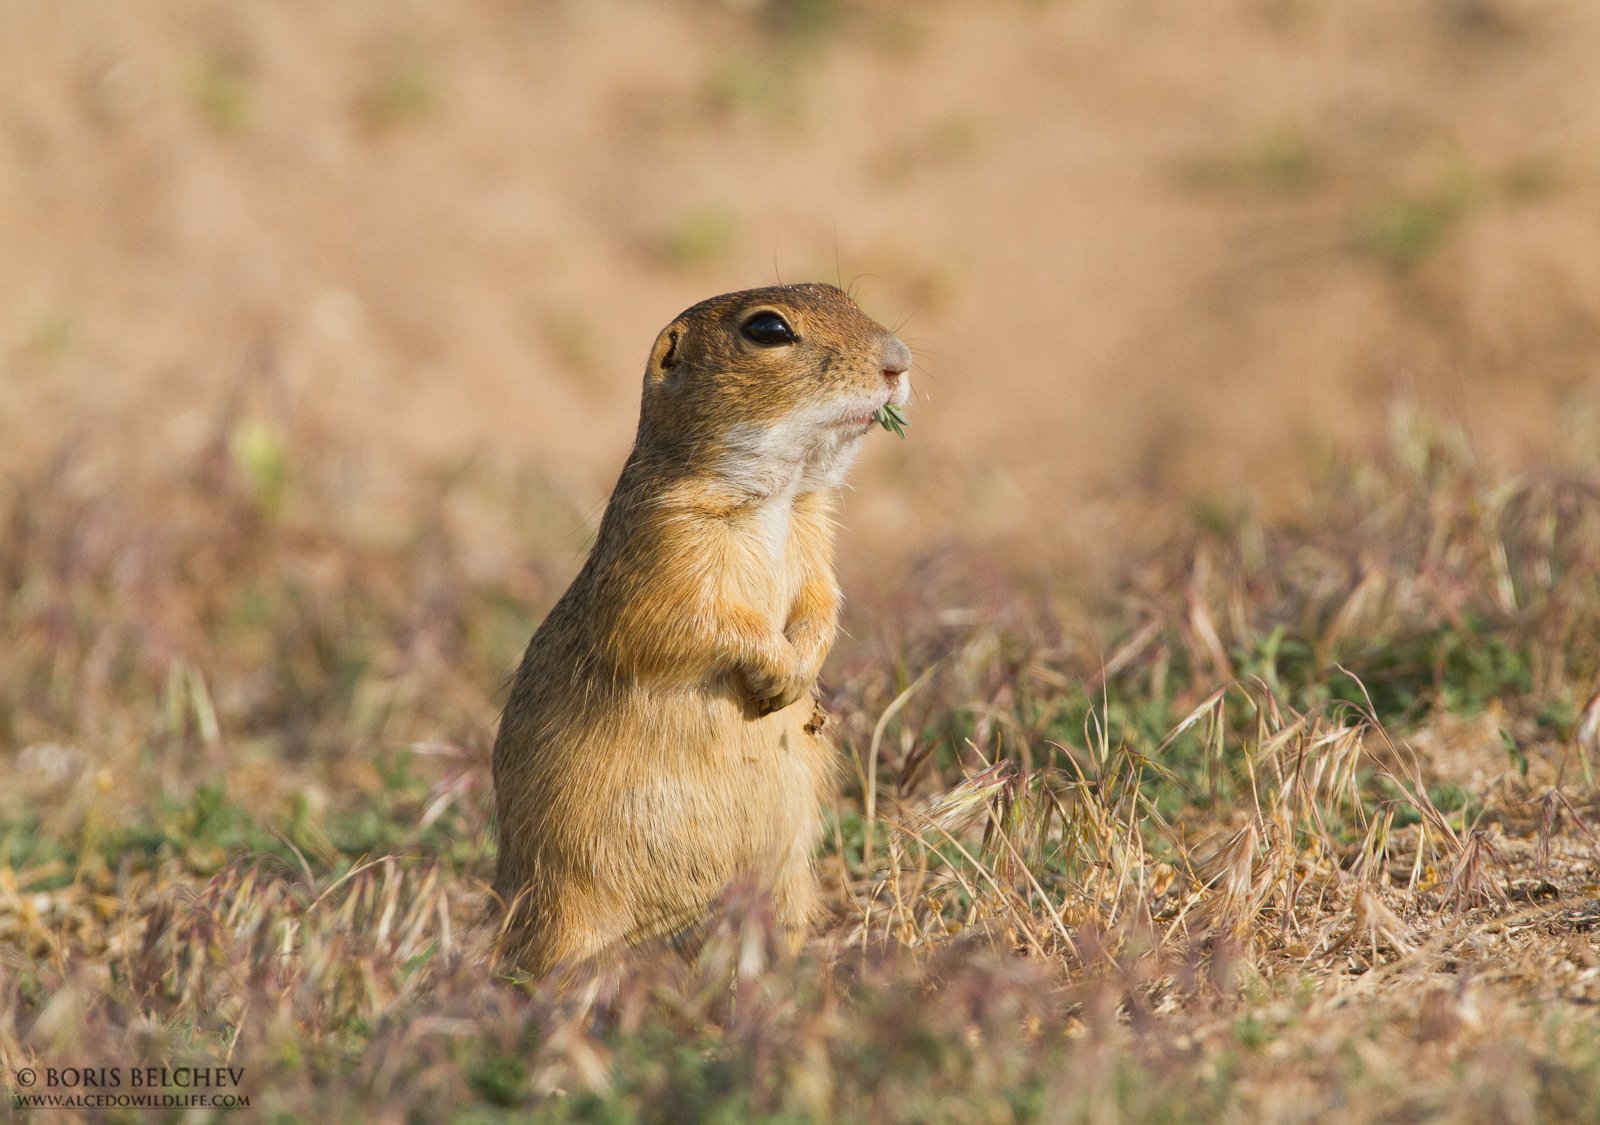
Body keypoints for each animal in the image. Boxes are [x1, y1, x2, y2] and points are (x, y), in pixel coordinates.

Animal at [486, 283, 915, 979]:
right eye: (767, 330)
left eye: (844, 294)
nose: (898, 362)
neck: (778, 496)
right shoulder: (668, 540)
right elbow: (687, 624)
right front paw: (778, 678)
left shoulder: (815, 536)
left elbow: (823, 603)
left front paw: (802, 680)